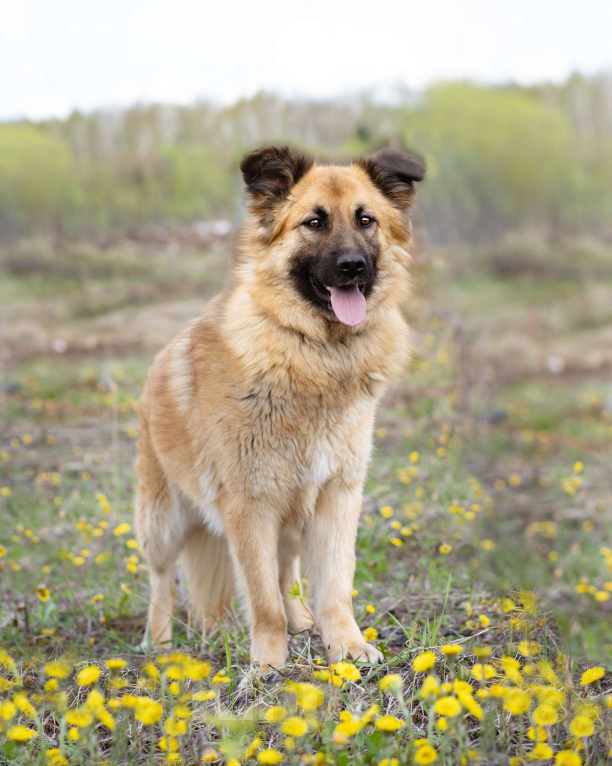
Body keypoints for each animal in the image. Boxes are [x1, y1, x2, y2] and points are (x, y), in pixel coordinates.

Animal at [134, 144, 424, 672]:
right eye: (314, 222)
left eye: (366, 219)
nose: (353, 266)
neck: (316, 354)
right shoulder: (250, 507)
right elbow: (262, 597)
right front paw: (269, 665)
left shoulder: (336, 496)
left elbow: (335, 587)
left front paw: (346, 647)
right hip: (164, 520)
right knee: (162, 581)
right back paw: (160, 644)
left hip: (292, 515)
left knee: (287, 574)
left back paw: (302, 619)